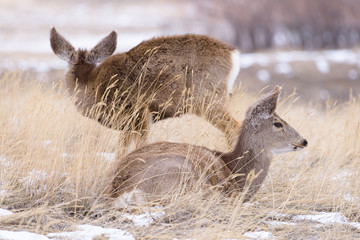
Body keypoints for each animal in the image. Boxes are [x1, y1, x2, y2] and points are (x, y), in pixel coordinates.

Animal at [50, 27, 242, 152]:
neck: (93, 85)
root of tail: (234, 54)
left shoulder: (139, 111)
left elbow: (140, 146)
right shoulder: (127, 125)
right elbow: (121, 151)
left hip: (207, 97)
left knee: (234, 127)